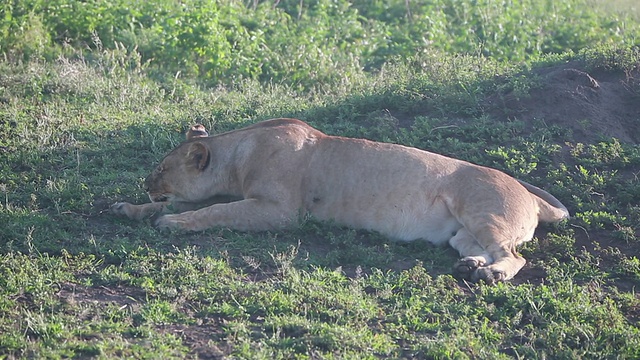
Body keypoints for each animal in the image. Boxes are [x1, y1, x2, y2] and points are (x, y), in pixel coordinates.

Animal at [111, 119, 568, 284]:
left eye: (162, 168)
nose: (145, 181)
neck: (237, 153)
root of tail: (530, 193)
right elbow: (181, 205)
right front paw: (129, 209)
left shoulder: (279, 211)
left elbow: (213, 211)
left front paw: (170, 224)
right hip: (462, 232)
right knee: (476, 248)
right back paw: (470, 266)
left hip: (483, 211)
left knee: (513, 255)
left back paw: (490, 274)